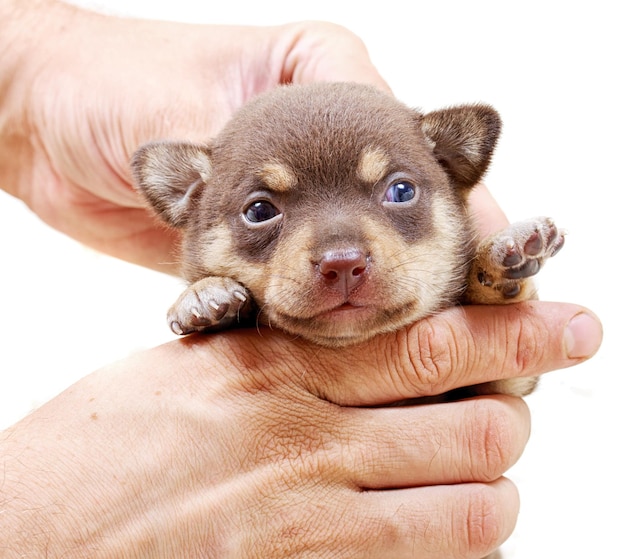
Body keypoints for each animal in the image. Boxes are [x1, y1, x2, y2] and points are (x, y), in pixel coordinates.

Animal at [130, 82, 560, 398]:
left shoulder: (497, 385)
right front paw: (202, 295)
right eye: (260, 212)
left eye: (401, 191)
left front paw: (501, 260)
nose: (342, 263)